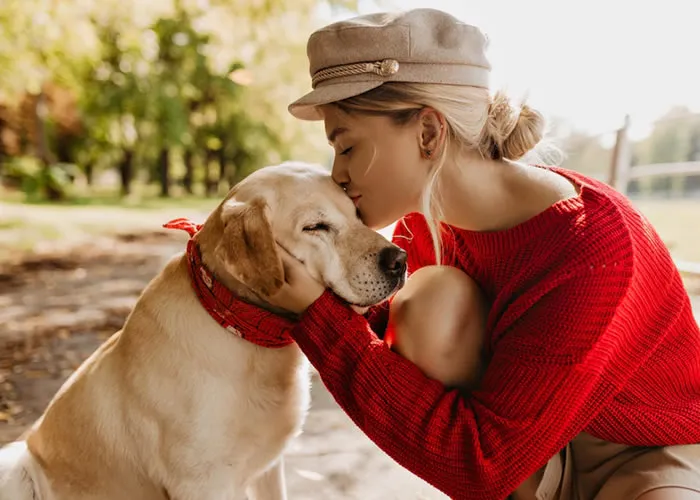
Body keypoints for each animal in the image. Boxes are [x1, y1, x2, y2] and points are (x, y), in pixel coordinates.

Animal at [0, 162, 408, 498]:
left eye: (357, 215)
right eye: (315, 227)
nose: (400, 260)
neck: (242, 327)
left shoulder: (268, 469)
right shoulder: (202, 484)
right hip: (16, 462)